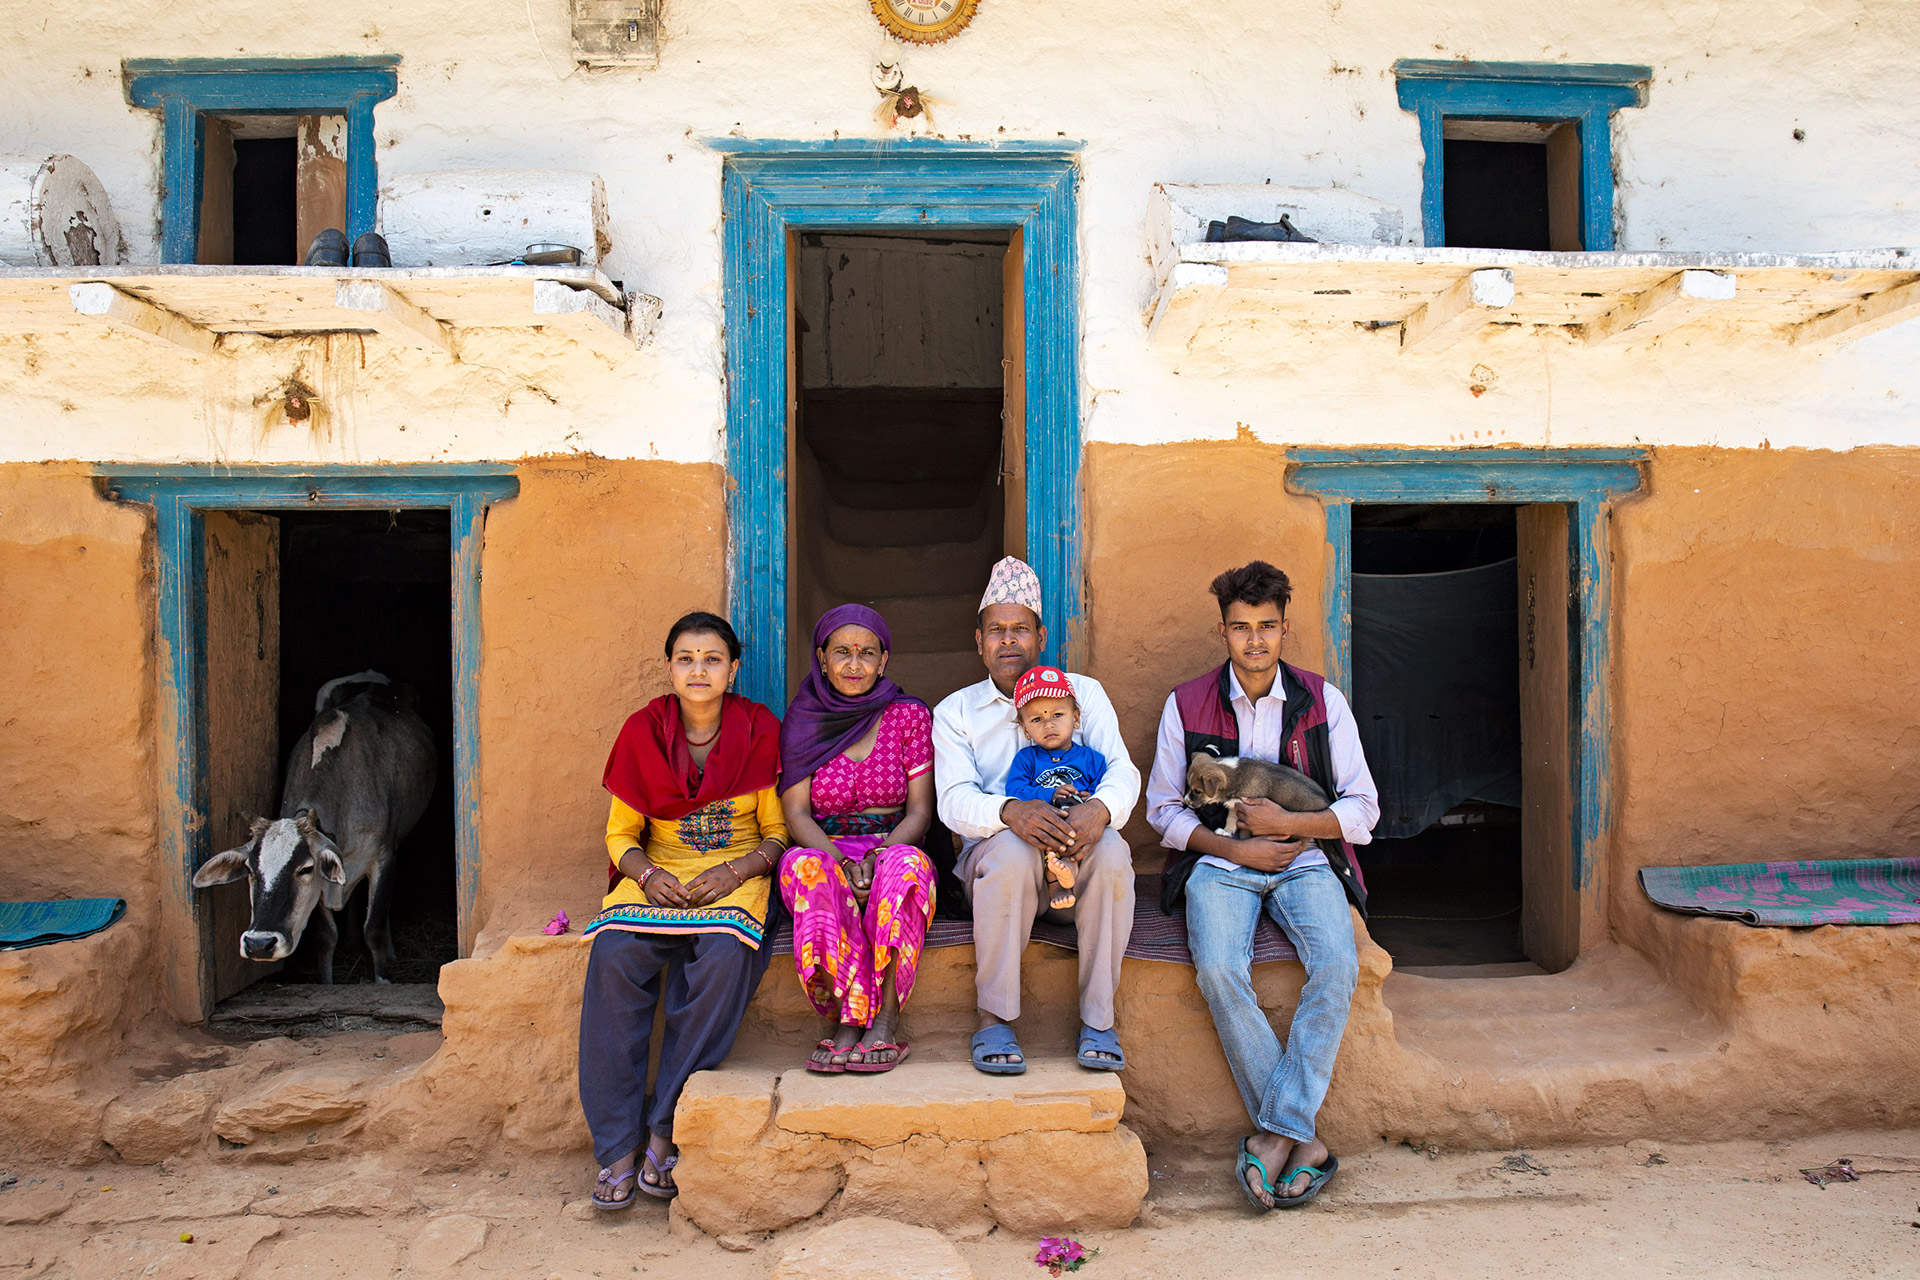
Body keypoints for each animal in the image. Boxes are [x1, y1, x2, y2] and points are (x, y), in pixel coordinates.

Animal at [192, 667, 437, 990]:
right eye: (250, 871)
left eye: (304, 869)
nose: (259, 944)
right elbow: (324, 936)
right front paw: (327, 982)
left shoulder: (383, 856)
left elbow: (374, 928)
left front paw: (382, 980)